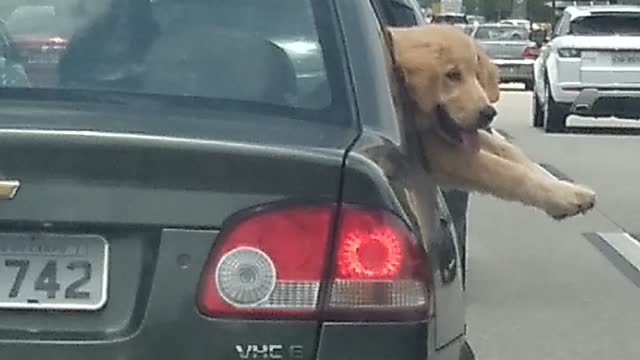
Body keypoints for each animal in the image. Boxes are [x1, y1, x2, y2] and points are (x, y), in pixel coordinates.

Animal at [388, 24, 596, 219]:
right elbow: (504, 169)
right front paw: (566, 198)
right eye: (452, 75)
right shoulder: (436, 152)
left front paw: (564, 186)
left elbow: (509, 150)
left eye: (477, 75)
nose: (489, 113)